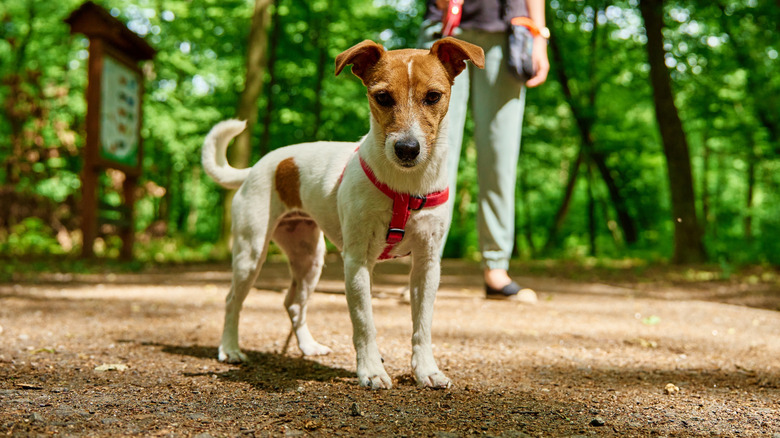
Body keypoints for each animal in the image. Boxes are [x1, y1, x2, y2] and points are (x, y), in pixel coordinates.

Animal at [201, 36, 482, 386]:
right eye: (382, 97)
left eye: (433, 96)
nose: (407, 149)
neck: (405, 187)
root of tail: (255, 169)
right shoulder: (357, 262)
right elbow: (364, 323)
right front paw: (372, 370)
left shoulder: (427, 265)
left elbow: (422, 326)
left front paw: (426, 370)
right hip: (250, 255)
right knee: (232, 301)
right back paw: (229, 349)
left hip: (309, 259)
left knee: (293, 304)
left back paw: (307, 346)